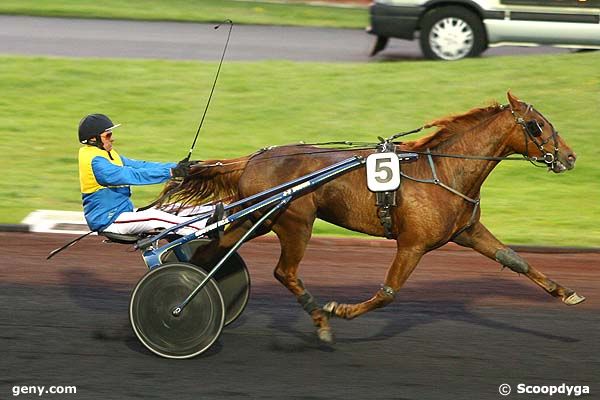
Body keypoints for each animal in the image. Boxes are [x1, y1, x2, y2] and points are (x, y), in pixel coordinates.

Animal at [162, 92, 584, 342]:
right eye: (538, 126)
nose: (569, 156)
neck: (445, 171)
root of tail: (252, 158)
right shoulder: (413, 244)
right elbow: (388, 293)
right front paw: (340, 310)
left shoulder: (467, 231)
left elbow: (515, 260)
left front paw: (567, 293)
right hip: (293, 221)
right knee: (284, 271)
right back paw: (317, 318)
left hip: (258, 219)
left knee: (216, 248)